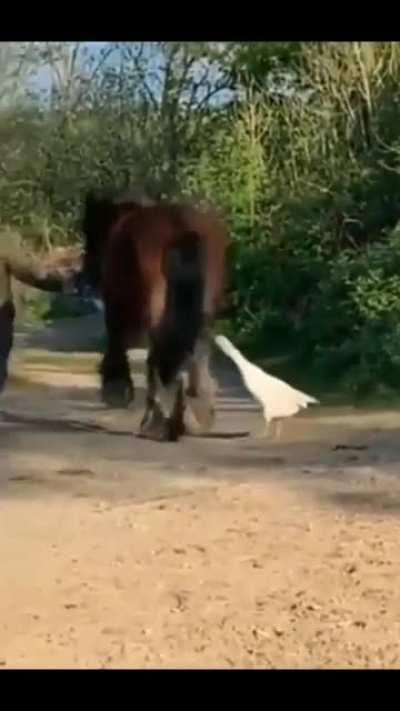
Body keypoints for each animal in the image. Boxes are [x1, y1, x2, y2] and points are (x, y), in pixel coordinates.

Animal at [78, 189, 228, 442]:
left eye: (92, 233)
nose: (85, 274)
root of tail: (181, 226)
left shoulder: (117, 305)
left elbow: (117, 341)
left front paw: (115, 387)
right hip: (204, 312)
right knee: (192, 355)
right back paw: (192, 414)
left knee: (157, 358)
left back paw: (158, 422)